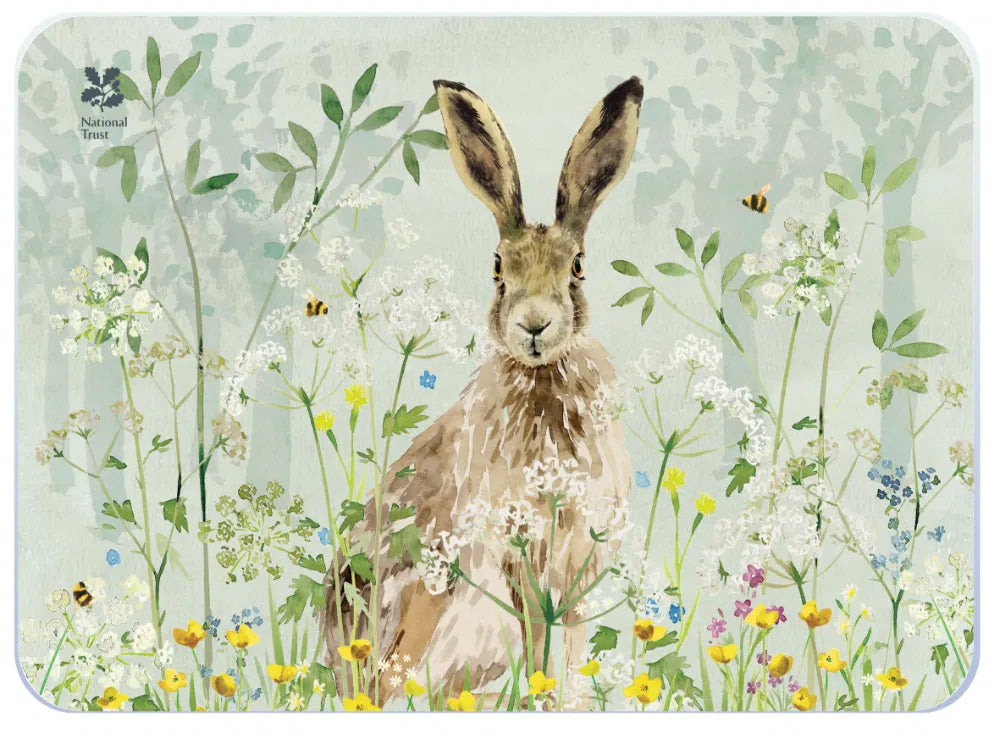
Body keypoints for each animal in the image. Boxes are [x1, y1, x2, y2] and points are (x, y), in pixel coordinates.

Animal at [323, 76, 643, 706]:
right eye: (498, 268)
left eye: (578, 267)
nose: (535, 324)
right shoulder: (523, 562)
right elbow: (541, 647)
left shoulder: (575, 569)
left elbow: (570, 653)